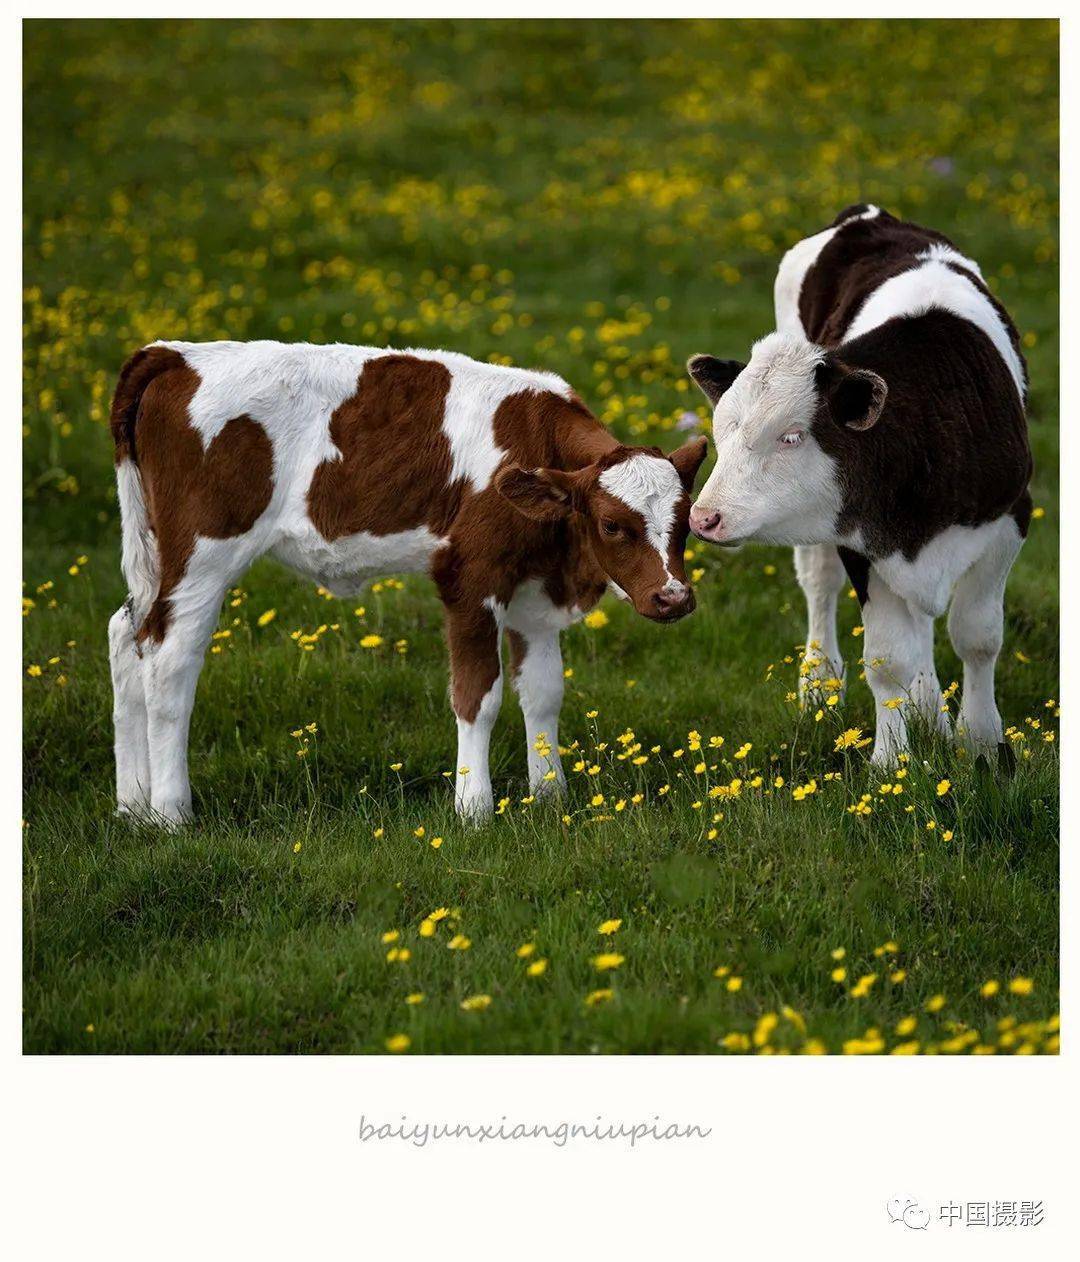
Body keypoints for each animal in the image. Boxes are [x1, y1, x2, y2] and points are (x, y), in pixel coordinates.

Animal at [109, 340, 706, 822]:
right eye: (612, 525)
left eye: (686, 522)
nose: (673, 597)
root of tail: (174, 354)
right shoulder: (470, 580)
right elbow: (478, 695)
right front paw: (474, 809)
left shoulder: (536, 591)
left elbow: (543, 693)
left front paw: (550, 796)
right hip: (201, 555)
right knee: (169, 662)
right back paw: (171, 812)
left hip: (154, 554)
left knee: (126, 637)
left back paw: (133, 805)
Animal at [686, 206, 1034, 762]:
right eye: (723, 430)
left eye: (791, 435)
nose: (704, 517)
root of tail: (869, 214)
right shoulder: (860, 537)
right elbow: (888, 659)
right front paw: (892, 760)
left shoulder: (1010, 517)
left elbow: (978, 637)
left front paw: (980, 741)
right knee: (820, 584)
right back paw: (820, 683)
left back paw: (929, 707)